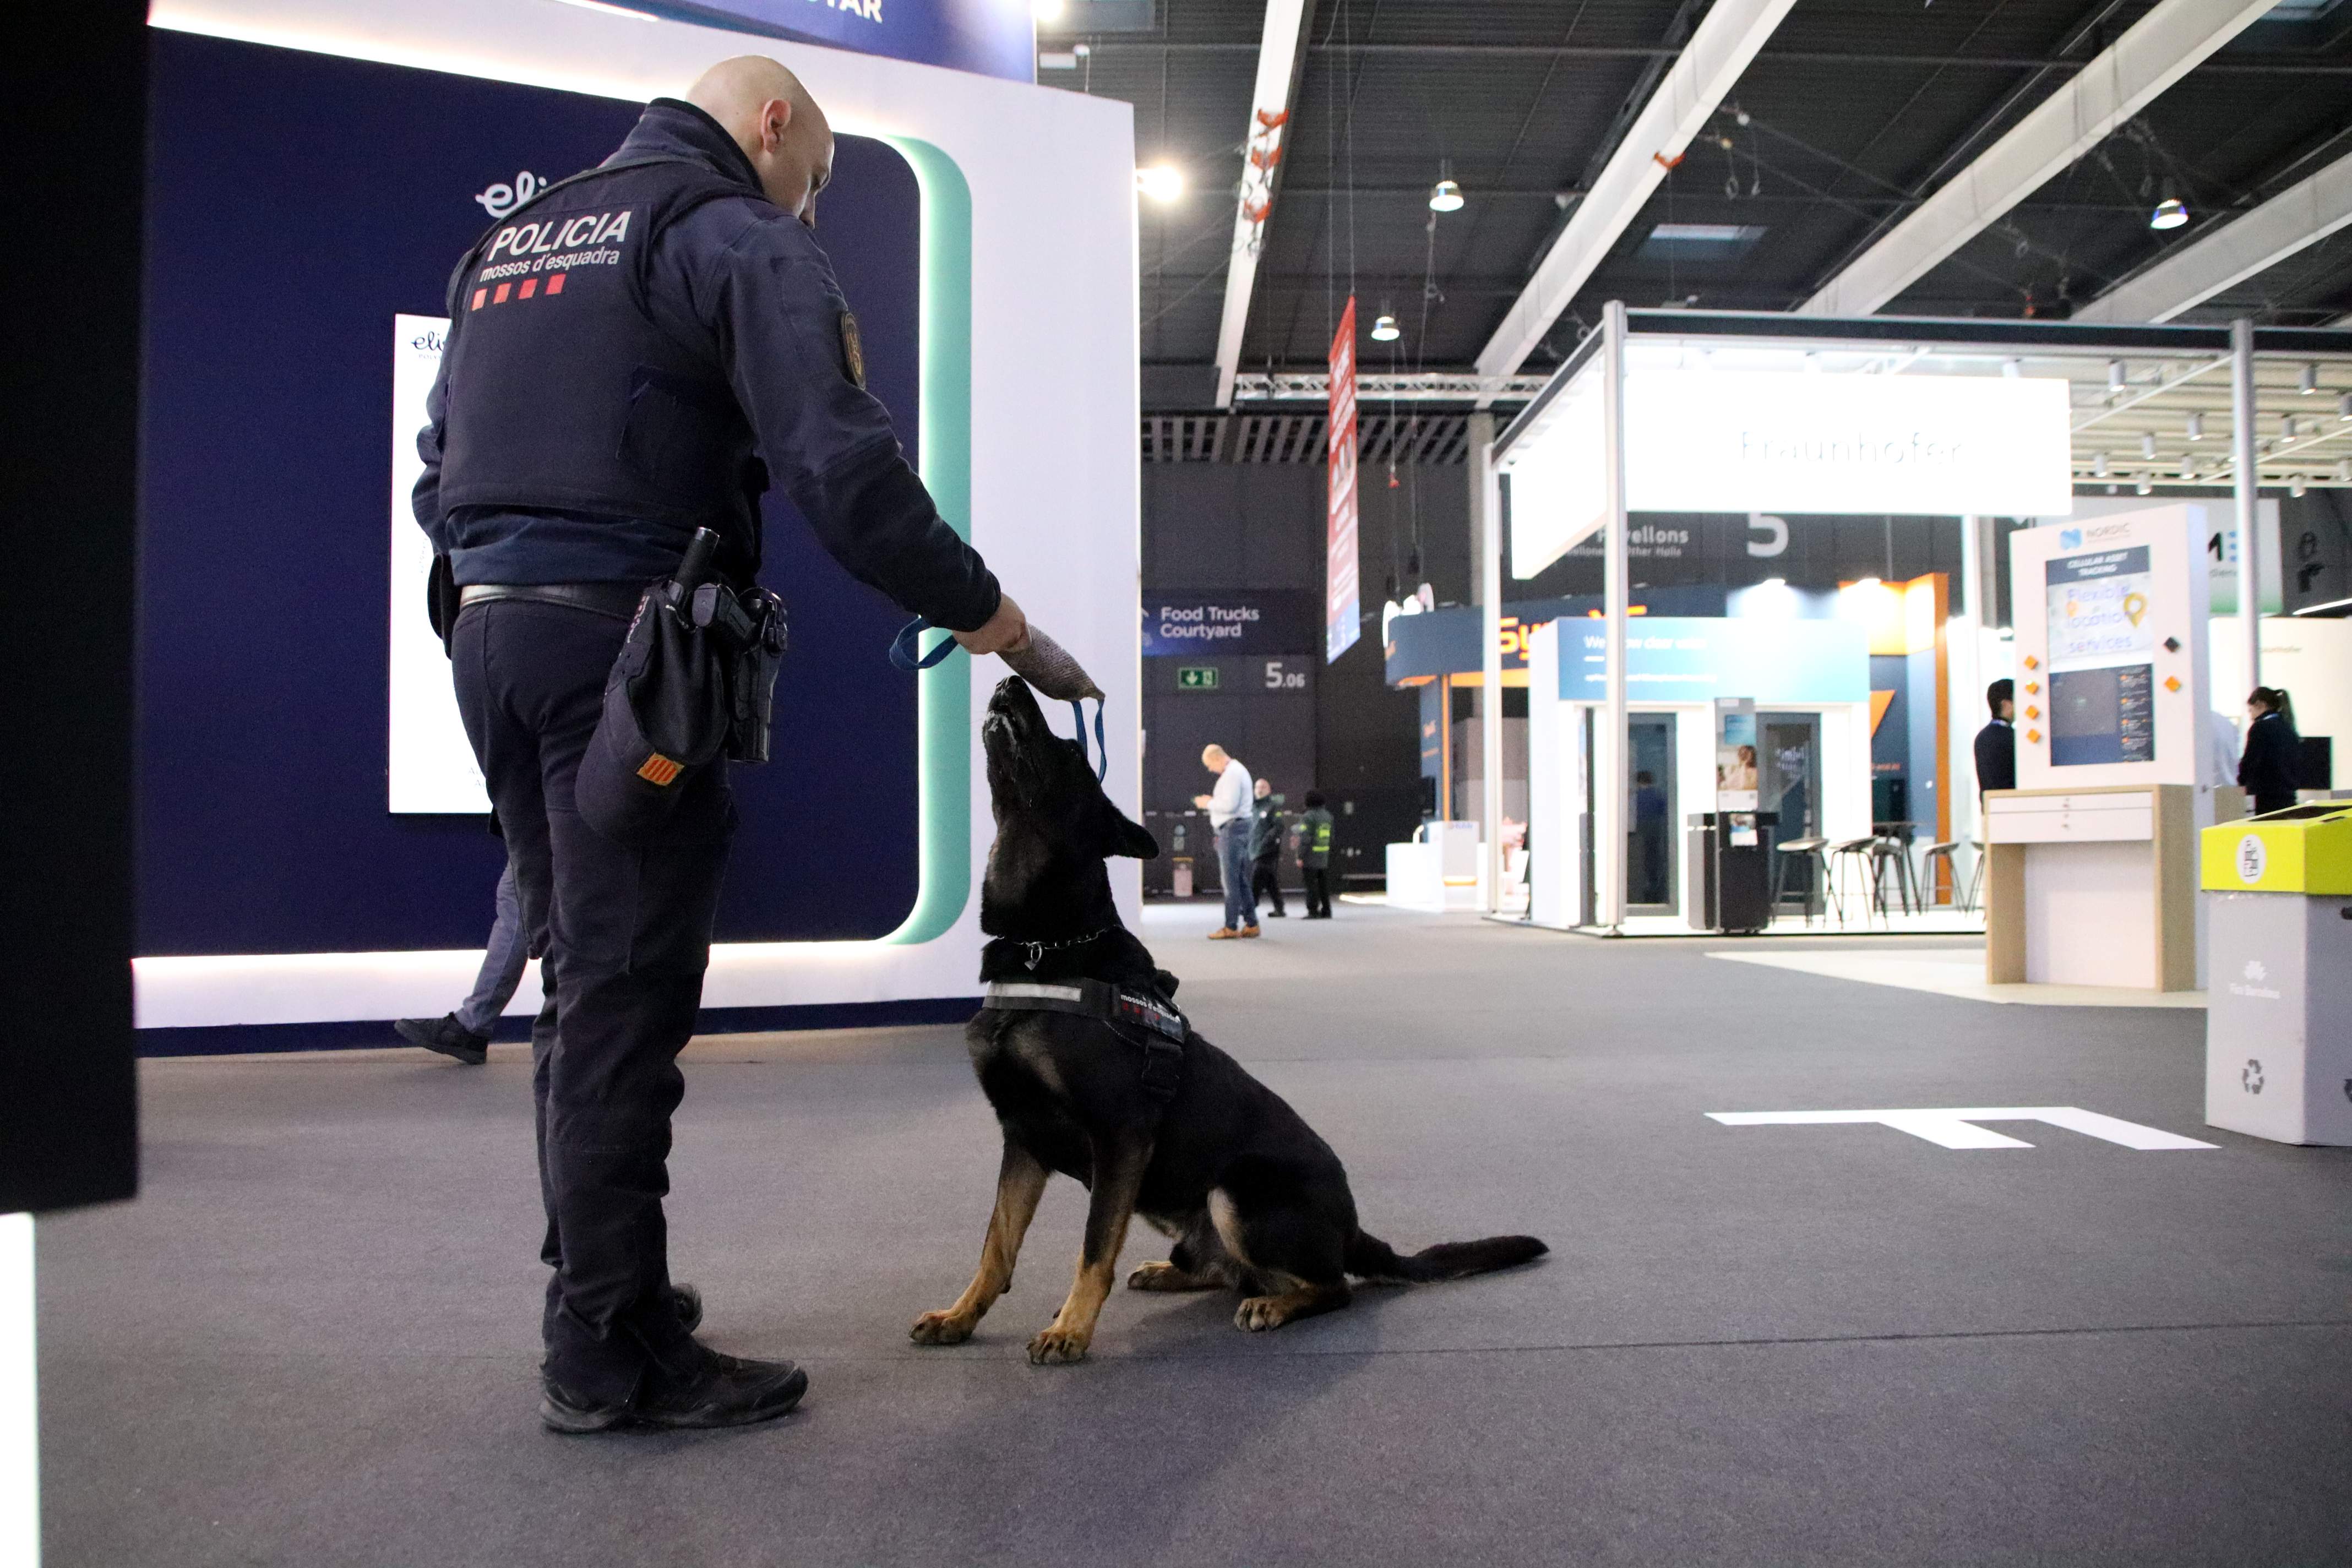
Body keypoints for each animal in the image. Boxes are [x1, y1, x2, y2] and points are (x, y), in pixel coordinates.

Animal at [907, 682, 1552, 1363]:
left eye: (1072, 751)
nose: (1009, 684)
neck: (1045, 943)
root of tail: (1354, 1230)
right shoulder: (1023, 1137)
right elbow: (997, 1245)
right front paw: (960, 1315)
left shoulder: (1119, 1135)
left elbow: (1093, 1248)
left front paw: (1071, 1329)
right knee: (1225, 1269)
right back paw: (1172, 1272)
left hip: (1236, 1190)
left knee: (1330, 1287)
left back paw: (1274, 1304)